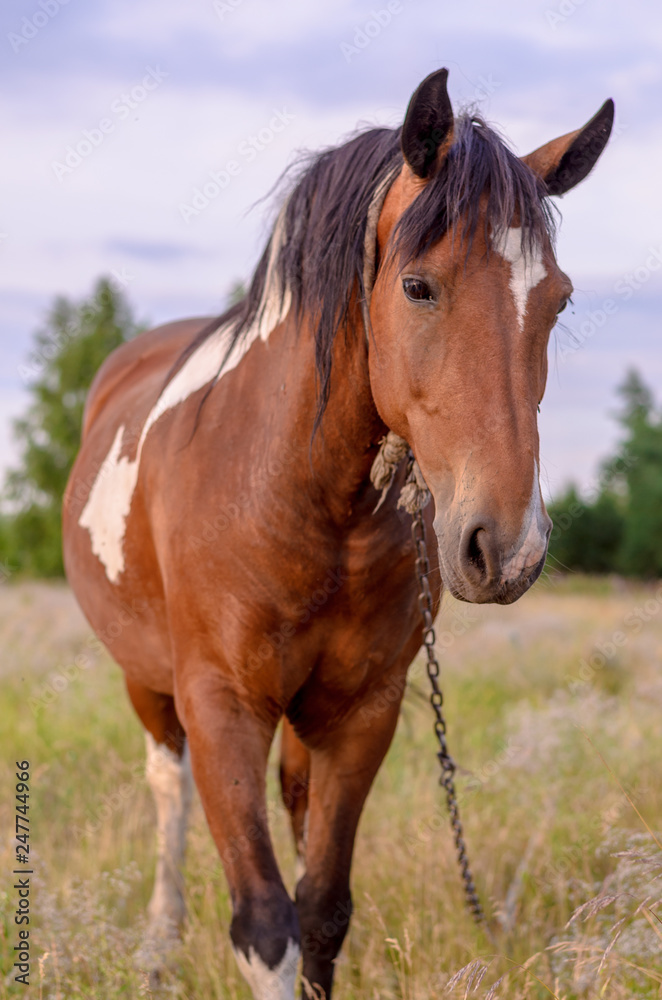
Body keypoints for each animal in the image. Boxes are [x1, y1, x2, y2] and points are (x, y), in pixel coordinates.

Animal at [63, 66, 616, 996]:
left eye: (558, 298)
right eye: (418, 286)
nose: (508, 548)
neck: (305, 501)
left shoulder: (363, 713)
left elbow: (321, 909)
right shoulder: (220, 707)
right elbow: (265, 924)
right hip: (149, 683)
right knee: (168, 788)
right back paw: (157, 942)